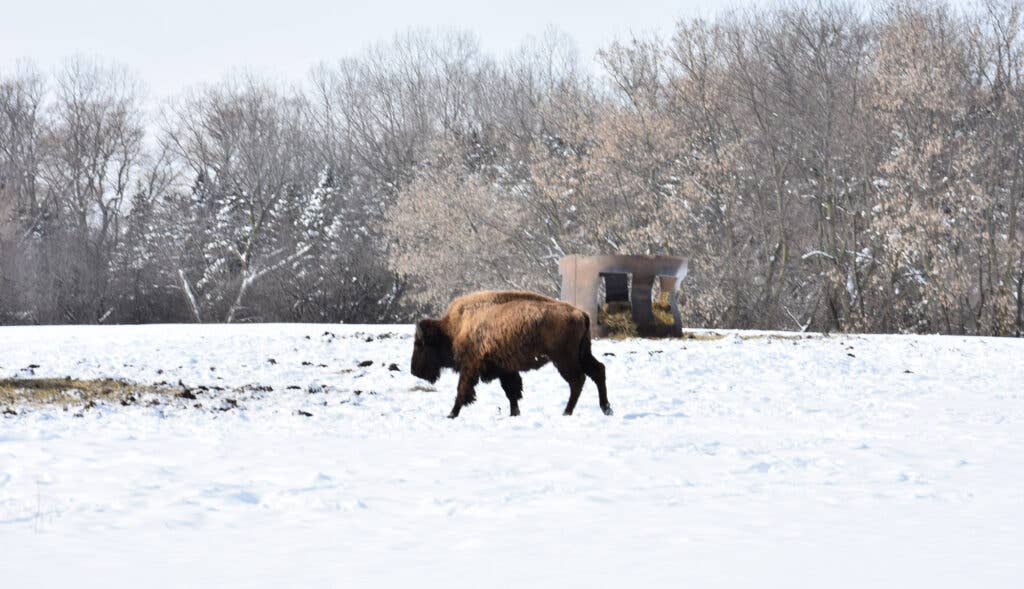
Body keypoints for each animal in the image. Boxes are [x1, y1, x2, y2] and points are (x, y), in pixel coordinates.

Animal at [407, 290, 610, 419]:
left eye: (419, 344)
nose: (414, 371)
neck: (455, 327)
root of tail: (581, 313)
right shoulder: (505, 370)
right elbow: (512, 392)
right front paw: (514, 413)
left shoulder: (470, 366)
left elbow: (462, 390)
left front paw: (451, 414)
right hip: (582, 354)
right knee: (598, 371)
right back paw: (606, 409)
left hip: (563, 359)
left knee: (578, 380)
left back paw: (567, 412)